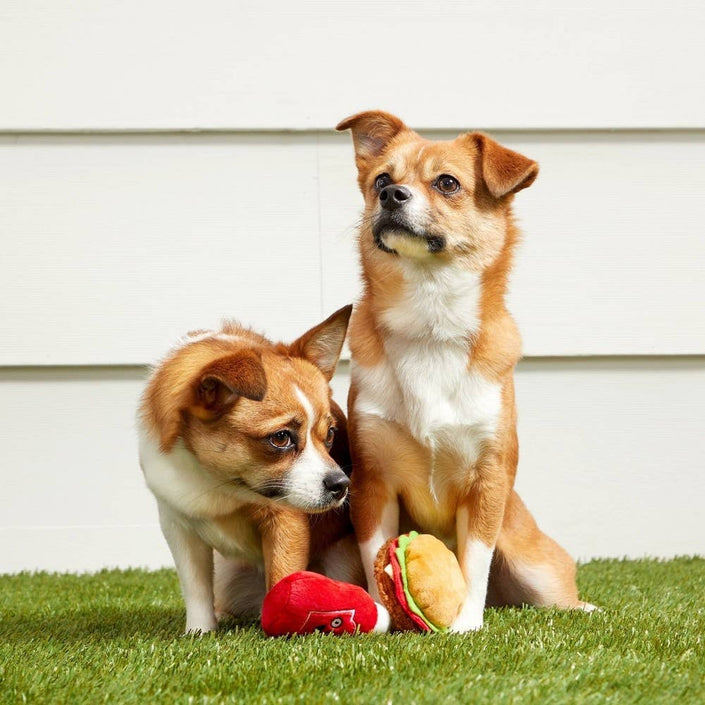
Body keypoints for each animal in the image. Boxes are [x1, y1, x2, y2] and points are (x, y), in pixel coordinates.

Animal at [139, 306, 358, 632]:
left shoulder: (286, 523)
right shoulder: (178, 526)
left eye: (330, 434)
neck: (223, 484)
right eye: (280, 438)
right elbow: (196, 588)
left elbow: (282, 578)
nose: (341, 484)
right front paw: (199, 631)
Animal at [336, 111, 592, 632]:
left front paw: (467, 624)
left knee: (558, 596)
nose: (392, 196)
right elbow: (374, 558)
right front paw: (383, 616)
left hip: (535, 566)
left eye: (448, 183)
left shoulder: (487, 483)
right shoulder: (372, 485)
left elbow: (474, 560)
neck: (430, 324)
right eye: (381, 181)